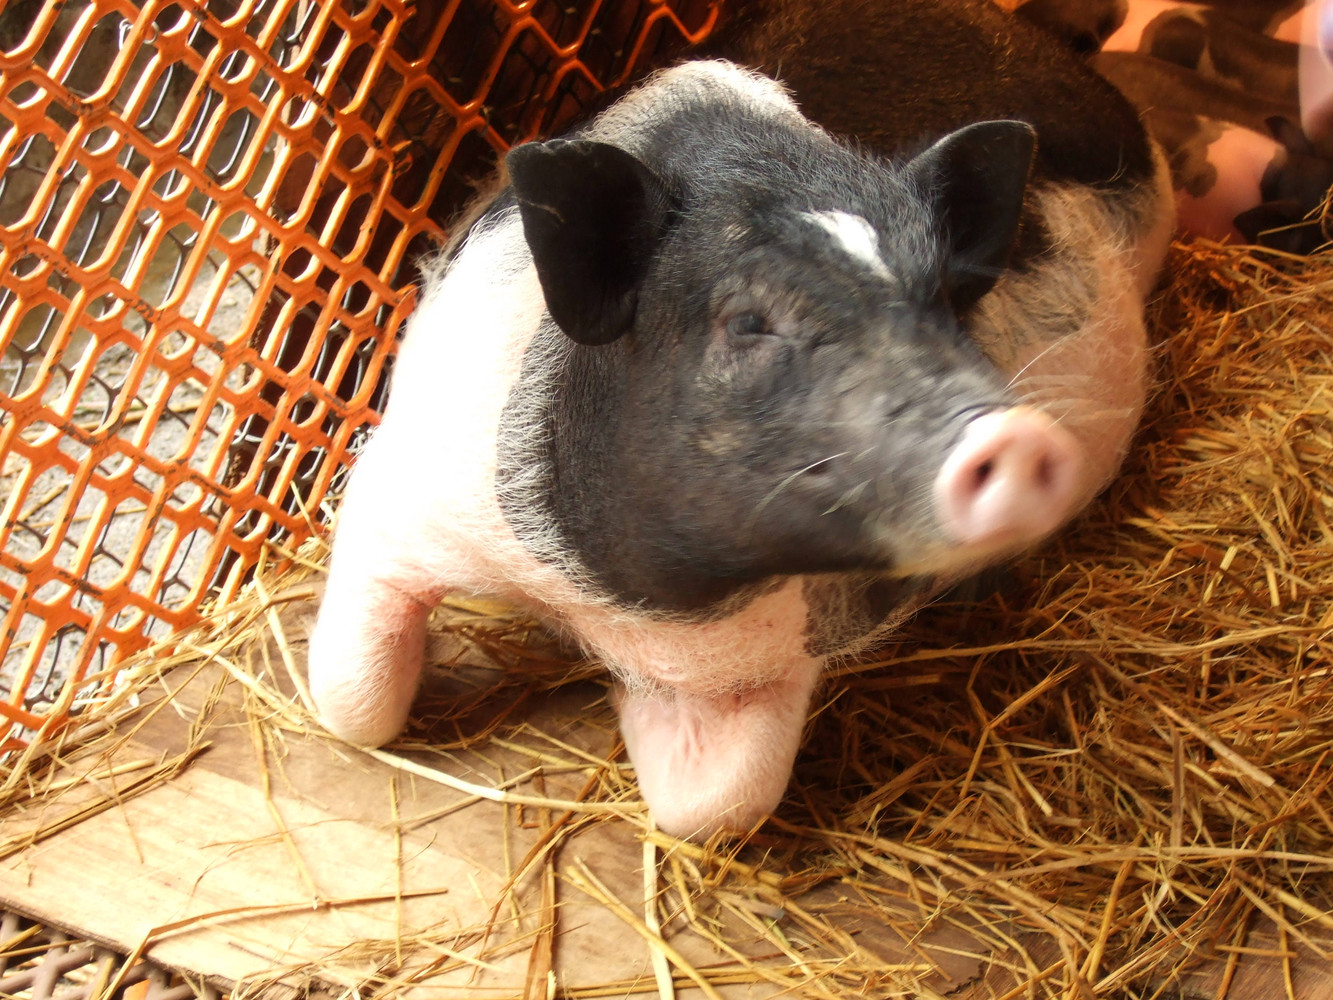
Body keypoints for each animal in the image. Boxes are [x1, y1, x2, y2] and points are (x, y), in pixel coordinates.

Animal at [307, 0, 1175, 839]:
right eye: (748, 320)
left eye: (946, 303)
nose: (1011, 434)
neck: (612, 607)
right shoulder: (400, 489)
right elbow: (351, 703)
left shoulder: (779, 657)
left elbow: (719, 808)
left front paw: (622, 702)